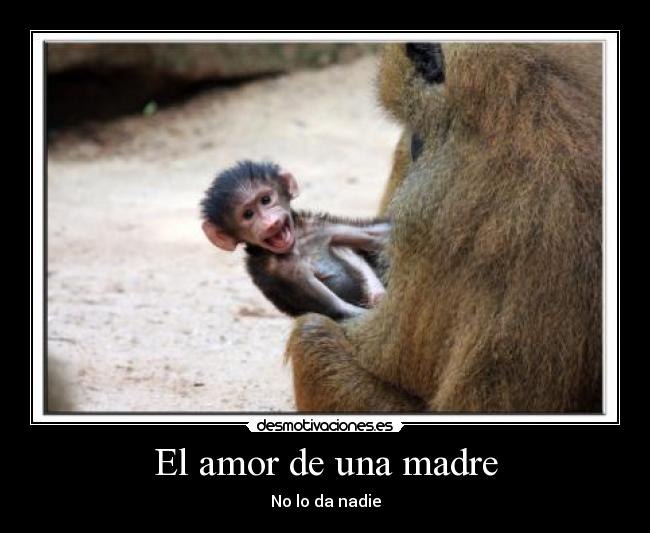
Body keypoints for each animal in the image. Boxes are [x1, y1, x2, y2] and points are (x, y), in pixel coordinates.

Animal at [200, 160, 391, 320]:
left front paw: (377, 294)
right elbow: (338, 308)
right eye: (248, 214)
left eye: (266, 200)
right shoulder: (281, 273)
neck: (297, 247)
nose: (270, 223)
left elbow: (375, 235)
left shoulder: (318, 227)